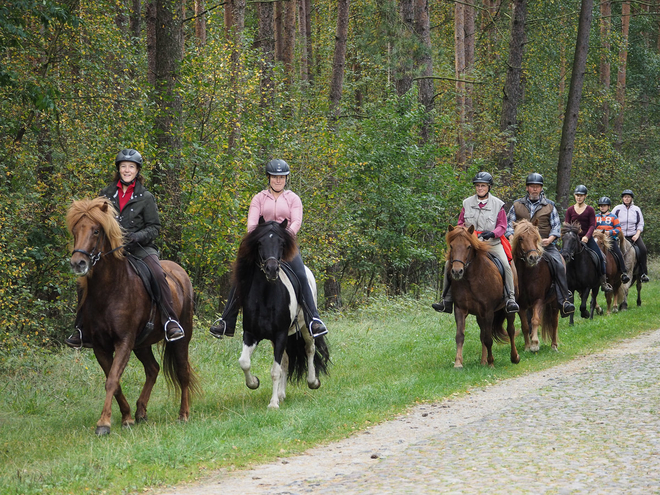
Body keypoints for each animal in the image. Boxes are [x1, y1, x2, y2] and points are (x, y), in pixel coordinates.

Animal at [66, 199, 199, 438]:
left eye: (96, 231)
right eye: (75, 230)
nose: (78, 263)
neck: (109, 289)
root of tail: (180, 272)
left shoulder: (124, 341)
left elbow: (112, 380)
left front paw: (104, 423)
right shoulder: (100, 346)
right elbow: (114, 381)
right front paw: (126, 417)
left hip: (182, 338)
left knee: (183, 371)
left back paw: (183, 415)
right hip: (142, 344)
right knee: (153, 369)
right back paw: (140, 412)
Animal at [235, 219, 332, 408]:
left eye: (281, 243)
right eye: (259, 243)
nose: (272, 269)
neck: (265, 296)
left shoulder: (280, 334)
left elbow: (275, 370)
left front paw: (272, 404)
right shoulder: (251, 334)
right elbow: (244, 362)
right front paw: (254, 382)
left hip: (305, 327)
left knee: (310, 349)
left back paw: (312, 381)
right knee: (286, 361)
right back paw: (281, 394)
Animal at [444, 225, 520, 368]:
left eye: (468, 246)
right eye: (451, 246)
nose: (457, 271)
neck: (471, 279)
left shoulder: (488, 311)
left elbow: (488, 339)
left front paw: (491, 363)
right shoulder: (460, 309)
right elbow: (460, 335)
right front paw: (458, 363)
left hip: (508, 309)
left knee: (510, 330)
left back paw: (514, 357)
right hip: (480, 315)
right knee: (483, 334)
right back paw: (483, 361)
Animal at [510, 220, 556, 352]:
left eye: (536, 237)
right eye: (520, 238)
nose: (533, 257)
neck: (528, 273)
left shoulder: (538, 300)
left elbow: (535, 320)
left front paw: (535, 344)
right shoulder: (521, 304)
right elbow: (525, 325)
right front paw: (527, 346)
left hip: (555, 302)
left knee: (554, 323)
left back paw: (554, 345)